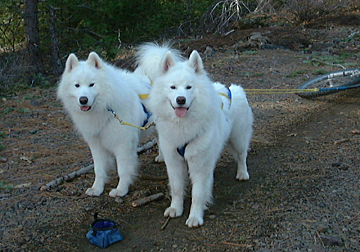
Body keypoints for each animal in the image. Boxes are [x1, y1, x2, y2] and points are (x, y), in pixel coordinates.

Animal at [57, 51, 155, 197]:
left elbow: (123, 169)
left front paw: (121, 190)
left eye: (92, 84)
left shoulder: (123, 143)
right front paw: (97, 188)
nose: (83, 100)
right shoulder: (96, 144)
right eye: (77, 85)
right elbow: (98, 169)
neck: (106, 108)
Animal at [136, 43, 253, 228]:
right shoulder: (174, 162)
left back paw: (242, 174)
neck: (182, 125)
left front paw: (195, 217)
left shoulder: (199, 165)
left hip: (238, 139)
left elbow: (198, 194)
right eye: (173, 87)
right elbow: (177, 189)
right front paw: (175, 208)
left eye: (189, 87)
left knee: (242, 156)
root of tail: (233, 89)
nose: (181, 100)